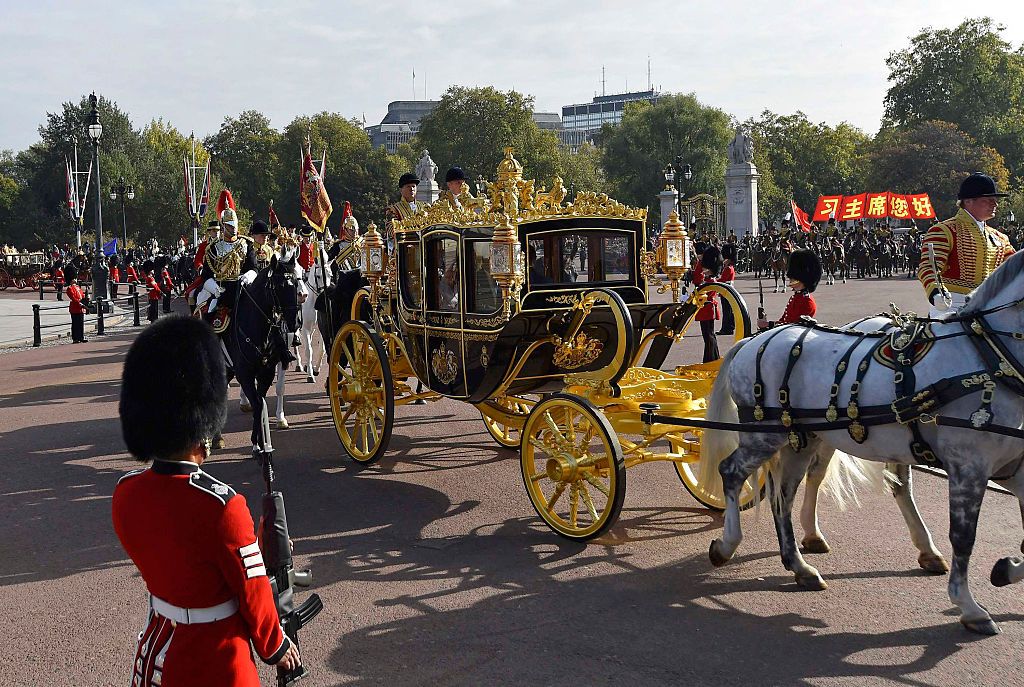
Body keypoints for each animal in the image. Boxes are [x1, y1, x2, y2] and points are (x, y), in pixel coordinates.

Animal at [220, 250, 299, 446]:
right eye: (279, 286)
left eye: (296, 281)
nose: (294, 322)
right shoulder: (244, 372)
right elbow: (257, 402)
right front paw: (258, 443)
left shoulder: (268, 369)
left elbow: (262, 400)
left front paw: (260, 440)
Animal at [700, 247, 1024, 634]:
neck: (988, 355)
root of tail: (753, 340)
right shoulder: (968, 466)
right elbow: (963, 536)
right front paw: (970, 606)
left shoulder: (1012, 468)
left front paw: (1005, 571)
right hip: (766, 435)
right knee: (732, 472)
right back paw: (727, 546)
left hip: (800, 439)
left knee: (785, 495)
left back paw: (800, 565)